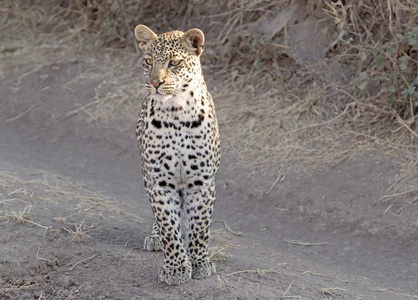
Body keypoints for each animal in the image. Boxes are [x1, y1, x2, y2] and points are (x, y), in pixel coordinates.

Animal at [134, 24, 222, 284]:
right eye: (148, 61)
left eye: (174, 63)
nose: (155, 83)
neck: (176, 113)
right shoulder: (160, 181)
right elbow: (168, 227)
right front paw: (176, 267)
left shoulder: (202, 182)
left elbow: (199, 227)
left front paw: (199, 262)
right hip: (148, 177)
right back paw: (155, 238)